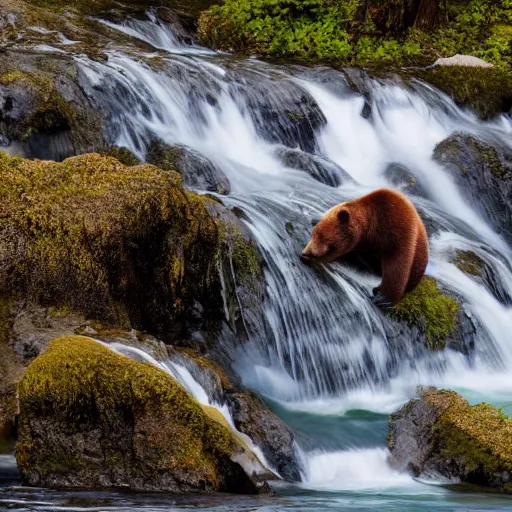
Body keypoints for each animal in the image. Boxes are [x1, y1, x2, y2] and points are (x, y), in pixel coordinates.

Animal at [300, 189, 428, 306]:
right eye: (313, 234)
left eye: (325, 240)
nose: (305, 254)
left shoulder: (400, 232)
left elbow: (398, 266)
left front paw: (382, 298)